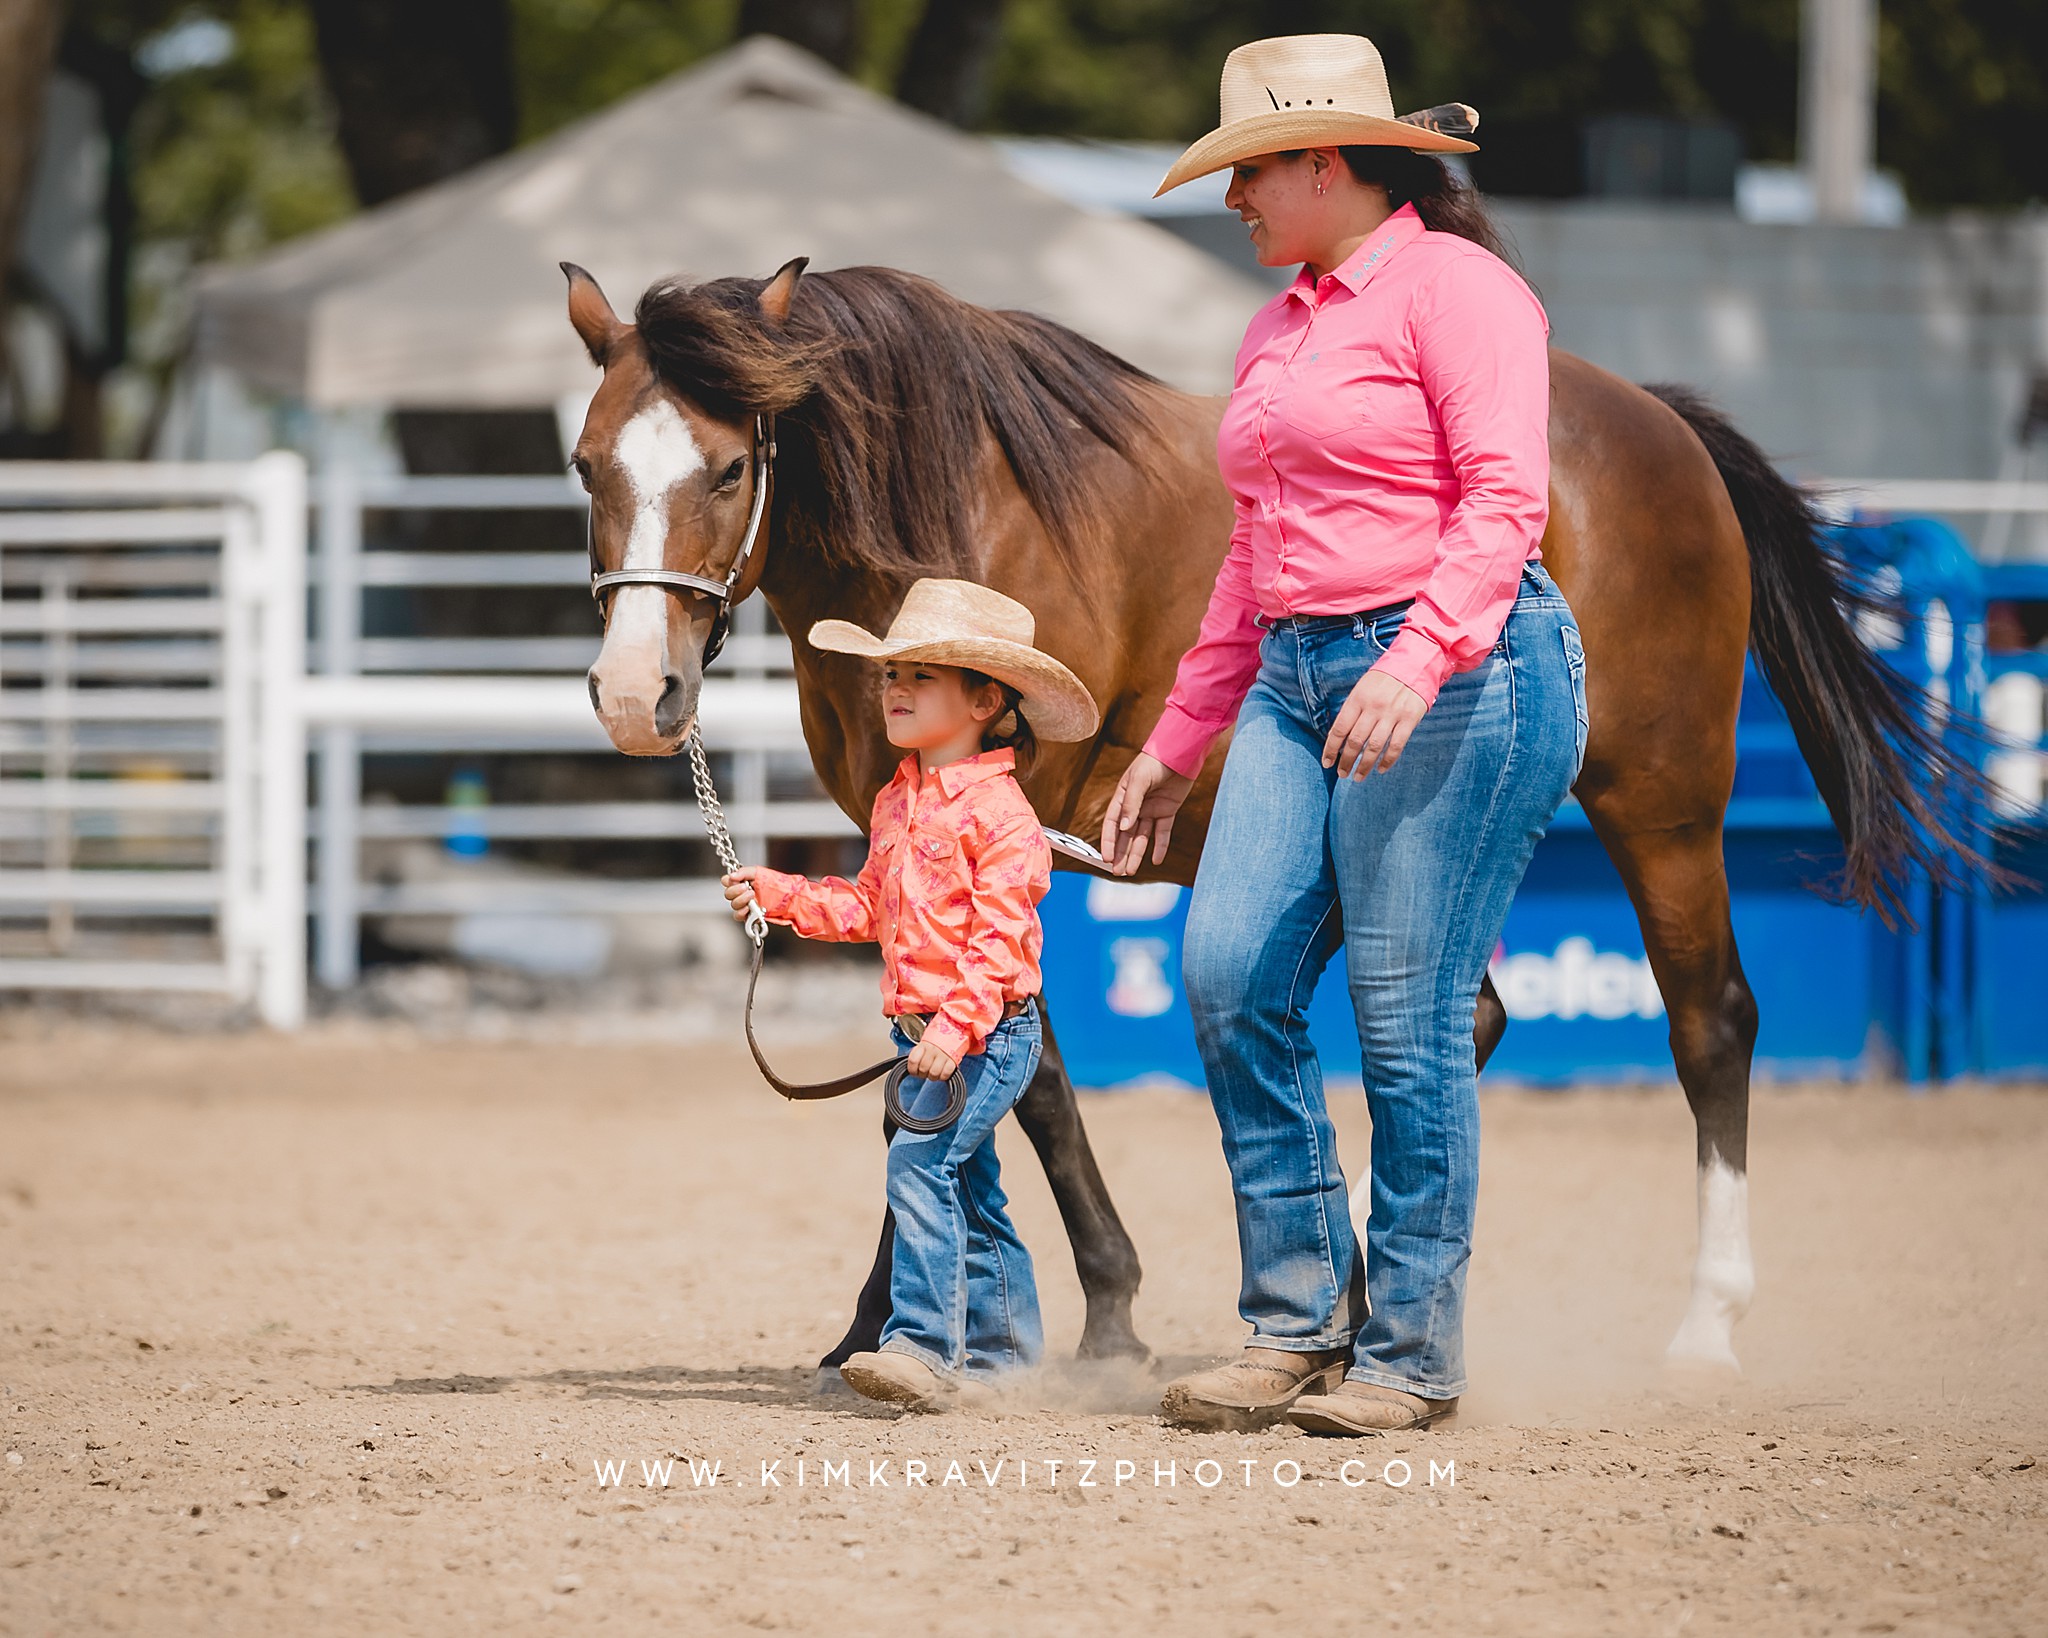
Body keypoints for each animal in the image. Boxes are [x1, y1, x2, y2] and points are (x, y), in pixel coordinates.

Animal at [561, 255, 1966, 1384]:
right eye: (582, 464)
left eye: (729, 465)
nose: (637, 695)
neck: (953, 518)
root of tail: (1658, 423)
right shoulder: (895, 834)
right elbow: (956, 1060)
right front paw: (885, 1324)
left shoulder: (1021, 828)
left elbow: (1005, 1067)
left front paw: (1089, 1318)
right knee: (1461, 1020)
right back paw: (1353, 1308)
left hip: (1659, 804)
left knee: (1707, 1025)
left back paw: (1699, 1329)